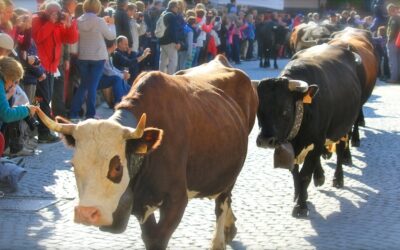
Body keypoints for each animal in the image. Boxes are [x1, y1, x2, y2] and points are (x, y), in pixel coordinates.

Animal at [36, 55, 258, 250]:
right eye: (74, 165)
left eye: (117, 167)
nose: (86, 213)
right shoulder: (140, 203)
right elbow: (148, 236)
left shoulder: (176, 200)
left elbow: (156, 240)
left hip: (230, 173)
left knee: (223, 201)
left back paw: (220, 239)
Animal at [256, 44, 362, 216]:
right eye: (259, 110)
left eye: (285, 110)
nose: (265, 140)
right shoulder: (295, 148)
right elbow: (296, 175)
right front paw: (301, 196)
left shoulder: (317, 141)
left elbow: (304, 175)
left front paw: (300, 206)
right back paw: (319, 176)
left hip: (344, 126)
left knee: (340, 150)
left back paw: (338, 178)